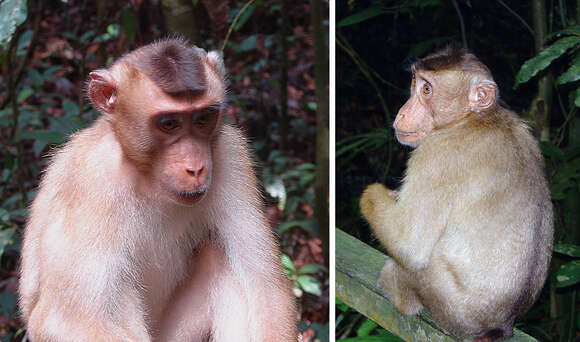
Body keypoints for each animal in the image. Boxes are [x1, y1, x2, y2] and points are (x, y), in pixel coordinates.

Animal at [19, 38, 296, 342]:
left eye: (203, 118)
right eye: (169, 123)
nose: (195, 167)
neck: (146, 177)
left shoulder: (230, 154)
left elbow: (264, 286)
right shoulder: (90, 177)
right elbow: (64, 319)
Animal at [360, 46, 556, 342]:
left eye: (427, 90)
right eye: (415, 84)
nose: (402, 113)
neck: (474, 119)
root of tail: (501, 324)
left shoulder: (437, 153)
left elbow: (409, 245)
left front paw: (373, 194)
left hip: (445, 302)